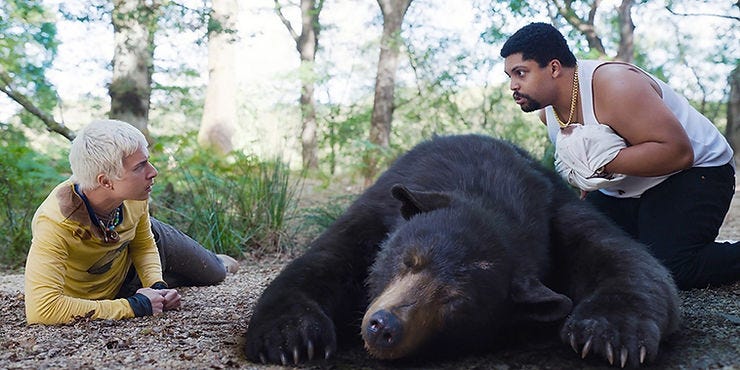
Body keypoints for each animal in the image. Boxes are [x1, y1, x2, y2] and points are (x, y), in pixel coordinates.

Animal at [246, 135, 680, 368]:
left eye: (455, 301)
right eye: (408, 261)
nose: (384, 326)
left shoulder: (558, 210)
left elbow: (630, 261)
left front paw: (610, 334)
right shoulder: (379, 209)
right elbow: (324, 262)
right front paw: (292, 336)